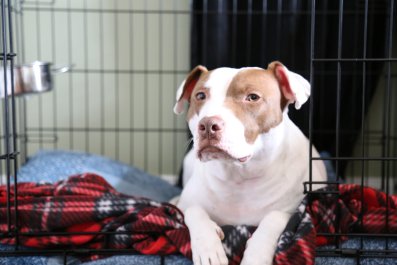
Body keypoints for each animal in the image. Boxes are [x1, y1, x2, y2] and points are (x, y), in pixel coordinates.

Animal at [172, 62, 324, 264]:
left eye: (253, 97)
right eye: (200, 96)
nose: (208, 125)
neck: (239, 175)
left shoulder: (298, 211)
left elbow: (275, 217)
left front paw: (257, 255)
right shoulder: (185, 205)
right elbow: (193, 211)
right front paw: (208, 248)